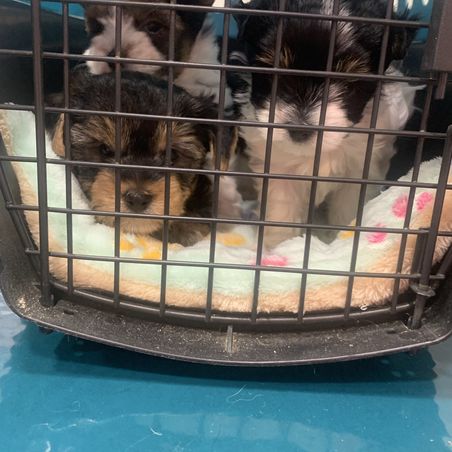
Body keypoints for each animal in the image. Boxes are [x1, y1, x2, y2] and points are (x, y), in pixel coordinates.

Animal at [234, 0, 417, 247]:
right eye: (272, 72)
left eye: (348, 79)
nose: (299, 129)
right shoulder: (278, 170)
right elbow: (282, 213)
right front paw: (279, 248)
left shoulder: (360, 170)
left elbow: (348, 209)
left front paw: (341, 240)